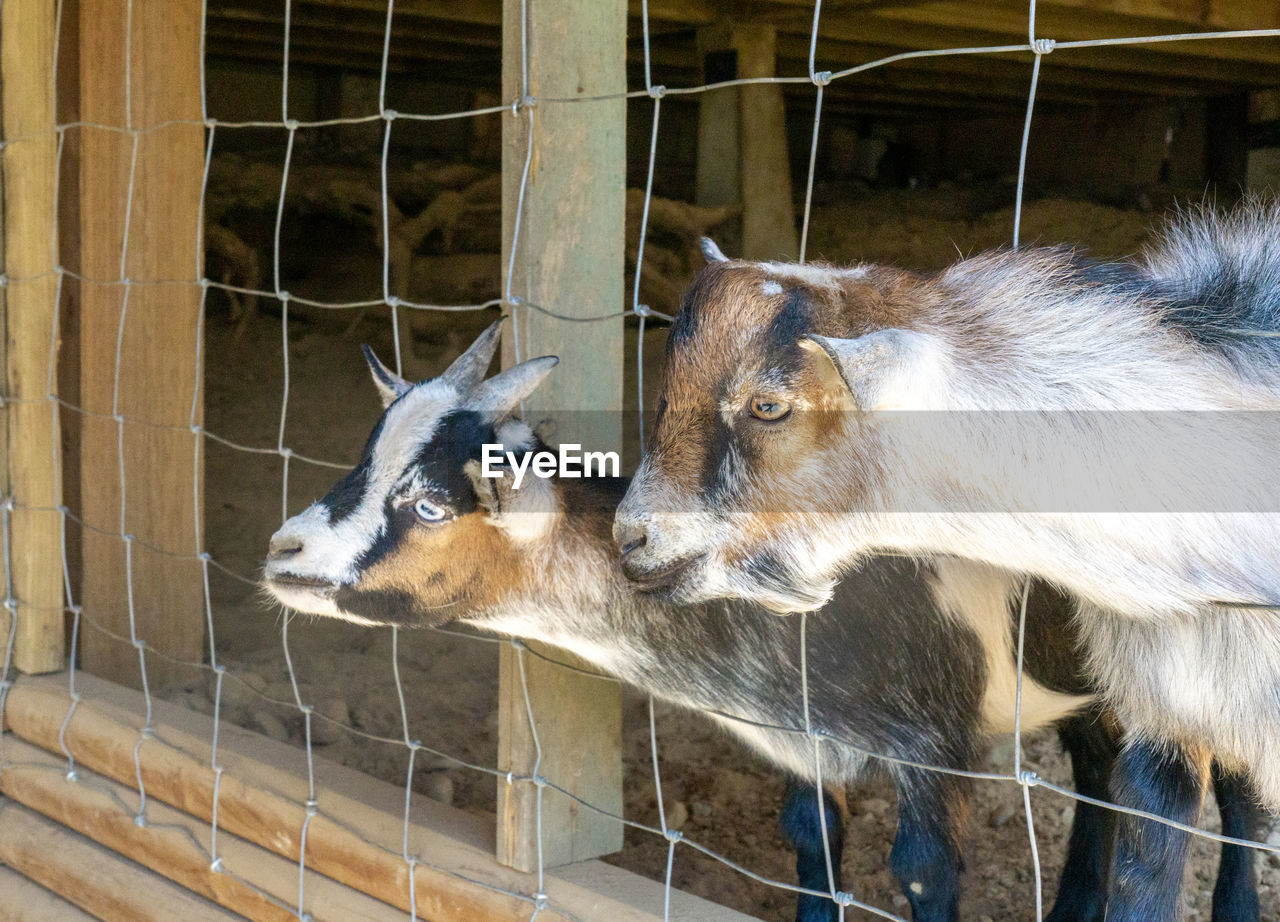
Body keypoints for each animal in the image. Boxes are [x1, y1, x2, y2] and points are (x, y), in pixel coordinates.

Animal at [262, 326, 1259, 922]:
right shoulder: (804, 735)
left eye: (429, 504)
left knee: (1235, 791)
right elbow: (812, 846)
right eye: (362, 461)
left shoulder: (934, 736)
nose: (282, 551)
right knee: (1097, 762)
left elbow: (925, 869)